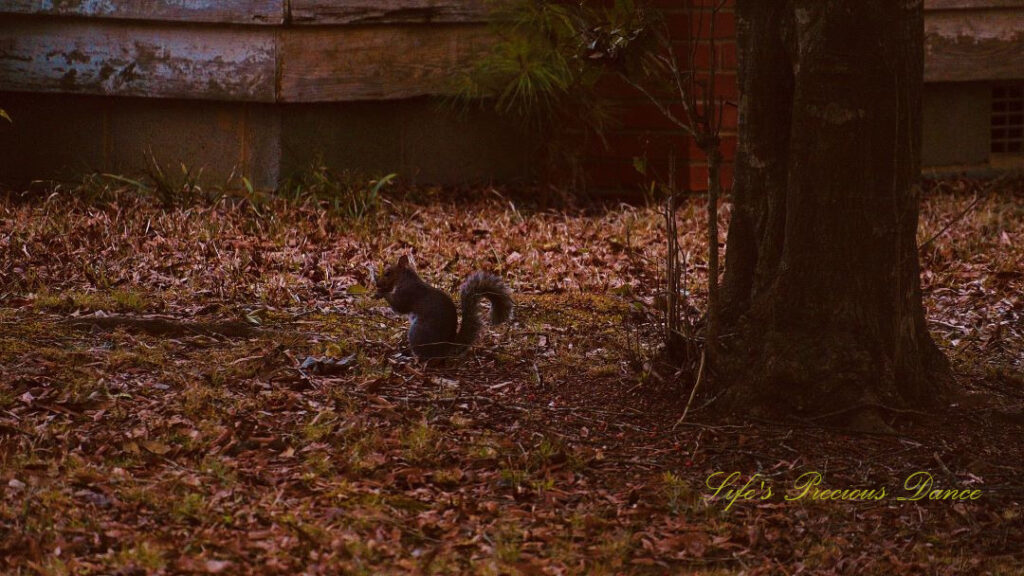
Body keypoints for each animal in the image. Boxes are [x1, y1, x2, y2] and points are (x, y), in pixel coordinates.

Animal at [372, 254, 512, 356]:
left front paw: (381, 293)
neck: (405, 279)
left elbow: (398, 306)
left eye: (387, 273)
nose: (377, 284)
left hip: (417, 332)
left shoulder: (408, 294)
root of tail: (445, 347)